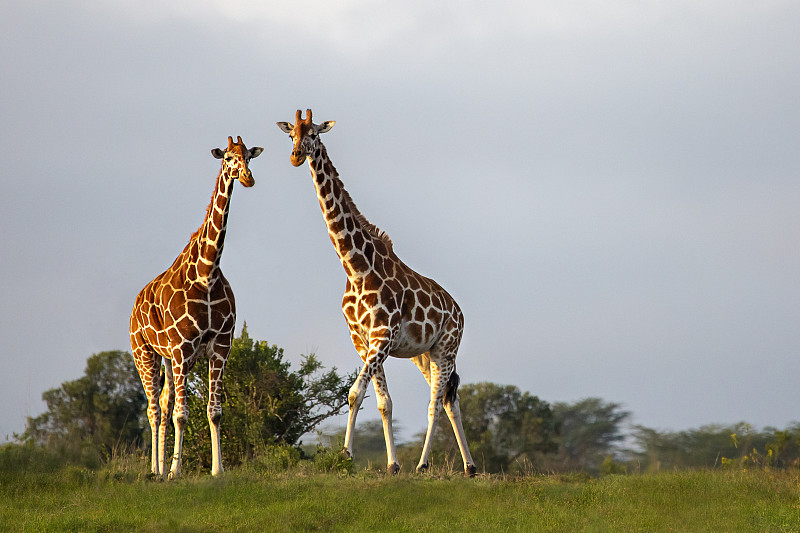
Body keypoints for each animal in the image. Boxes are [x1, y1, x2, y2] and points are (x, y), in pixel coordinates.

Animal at [126, 135, 260, 476]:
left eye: (249, 156)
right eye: (228, 158)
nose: (248, 178)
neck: (207, 273)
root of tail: (135, 306)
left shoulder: (220, 346)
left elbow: (214, 411)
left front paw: (217, 470)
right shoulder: (182, 348)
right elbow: (182, 415)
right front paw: (176, 471)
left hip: (168, 360)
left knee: (162, 403)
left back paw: (160, 468)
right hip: (144, 353)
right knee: (153, 410)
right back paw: (156, 470)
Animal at [276, 108, 476, 474]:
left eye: (314, 134)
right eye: (291, 134)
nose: (296, 155)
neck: (355, 267)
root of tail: (459, 311)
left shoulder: (382, 337)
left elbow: (355, 393)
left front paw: (346, 455)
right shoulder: (362, 340)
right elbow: (383, 402)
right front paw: (391, 464)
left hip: (446, 347)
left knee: (435, 402)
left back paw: (423, 464)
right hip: (424, 354)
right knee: (449, 399)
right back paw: (469, 467)